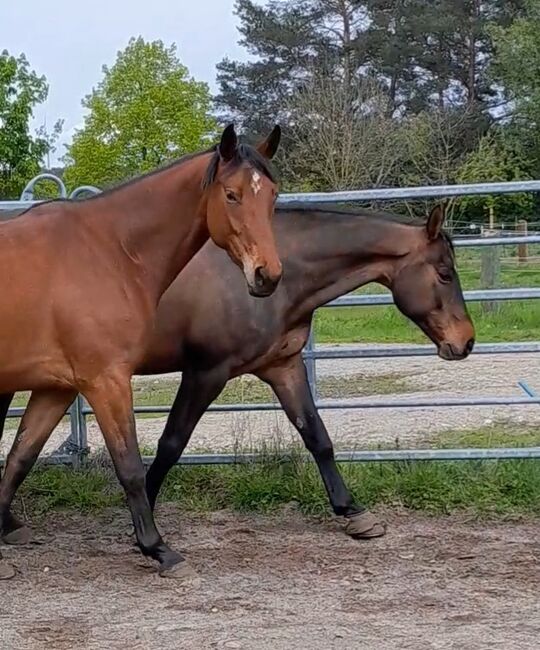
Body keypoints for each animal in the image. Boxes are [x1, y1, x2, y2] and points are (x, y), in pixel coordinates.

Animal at [0, 124, 284, 576]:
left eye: (272, 195)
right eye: (232, 194)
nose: (267, 275)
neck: (111, 251)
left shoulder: (57, 386)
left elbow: (20, 458)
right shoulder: (107, 381)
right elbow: (130, 466)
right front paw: (157, 548)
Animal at [0, 204, 472, 568]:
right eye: (445, 274)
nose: (465, 342)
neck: (275, 277)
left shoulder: (283, 366)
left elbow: (317, 436)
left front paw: (353, 512)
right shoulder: (206, 372)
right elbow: (171, 445)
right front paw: (143, 521)